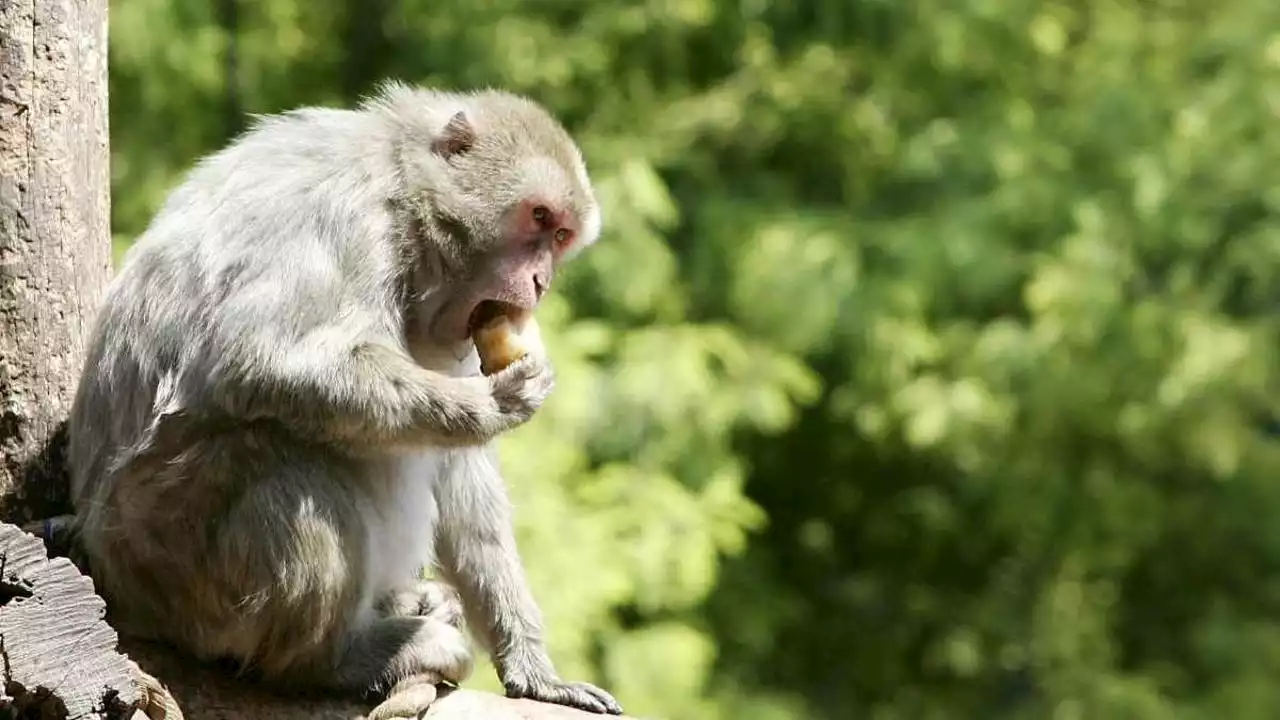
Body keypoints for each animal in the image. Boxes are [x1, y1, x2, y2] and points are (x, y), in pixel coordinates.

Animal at [66, 79, 624, 717]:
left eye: (559, 237)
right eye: (538, 216)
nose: (539, 283)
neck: (406, 206)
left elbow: (461, 475)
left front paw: (533, 668)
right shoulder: (351, 220)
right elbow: (259, 360)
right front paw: (491, 406)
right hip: (173, 575)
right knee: (280, 459)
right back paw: (334, 660)